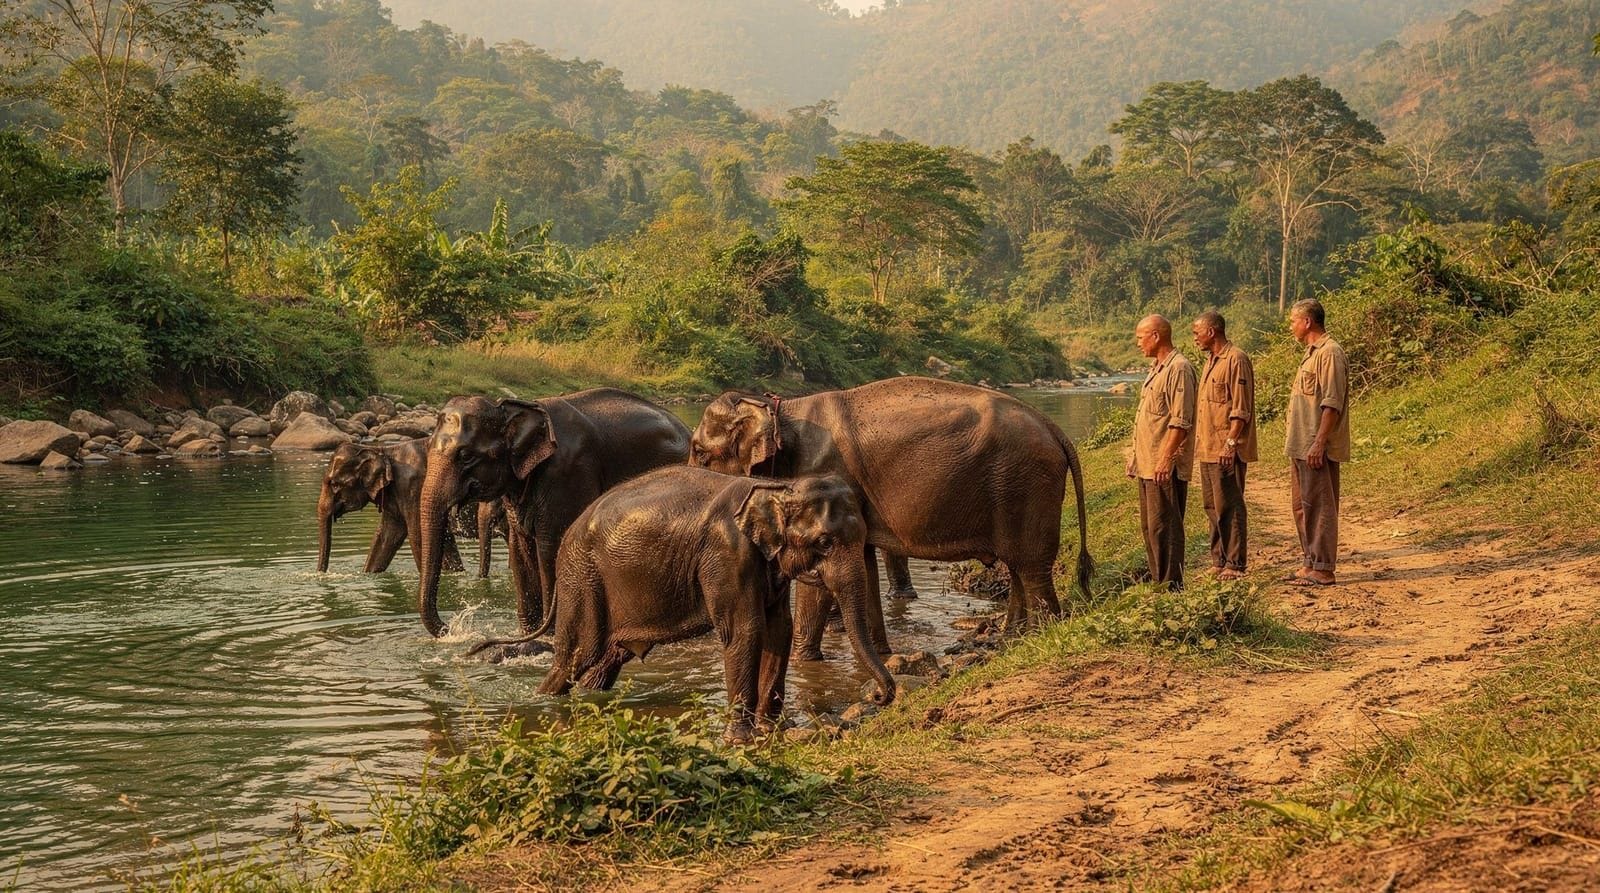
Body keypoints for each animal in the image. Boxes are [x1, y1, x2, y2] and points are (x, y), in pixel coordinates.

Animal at [316, 438, 466, 574]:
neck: (382, 452)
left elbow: (419, 536)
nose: (320, 575)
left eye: (335, 485)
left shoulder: (414, 489)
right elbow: (385, 538)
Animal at [416, 388, 692, 639]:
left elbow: (550, 548)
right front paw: (529, 633)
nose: (452, 629)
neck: (514, 409)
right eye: (427, 447)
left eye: (465, 456)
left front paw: (549, 636)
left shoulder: (567, 473)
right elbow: (520, 550)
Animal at [475, 466, 896, 742]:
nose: (878, 697)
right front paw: (740, 739)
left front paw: (773, 729)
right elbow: (745, 631)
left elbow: (779, 630)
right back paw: (541, 701)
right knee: (578, 655)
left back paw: (591, 697)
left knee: (605, 660)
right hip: (583, 578)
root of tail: (569, 536)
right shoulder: (726, 555)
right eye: (824, 542)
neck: (779, 487)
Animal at [689, 376, 1092, 659]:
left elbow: (818, 581)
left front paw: (805, 661)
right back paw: (1013, 638)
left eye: (700, 453)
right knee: (1017, 567)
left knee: (1031, 565)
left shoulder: (821, 476)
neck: (778, 407)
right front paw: (880, 652)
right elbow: (864, 566)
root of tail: (1054, 429)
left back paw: (1040, 634)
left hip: (1025, 485)